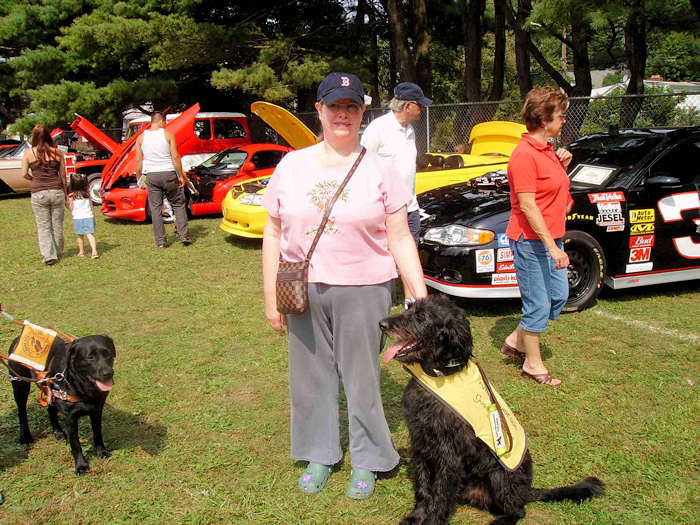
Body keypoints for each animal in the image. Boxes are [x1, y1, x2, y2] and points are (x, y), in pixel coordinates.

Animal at [380, 294, 604, 524]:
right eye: (409, 307)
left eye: (421, 316)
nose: (382, 324)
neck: (438, 374)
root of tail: (527, 490)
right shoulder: (421, 443)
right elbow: (424, 485)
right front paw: (416, 516)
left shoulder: (448, 453)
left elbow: (441, 492)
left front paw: (432, 520)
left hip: (499, 475)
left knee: (518, 510)